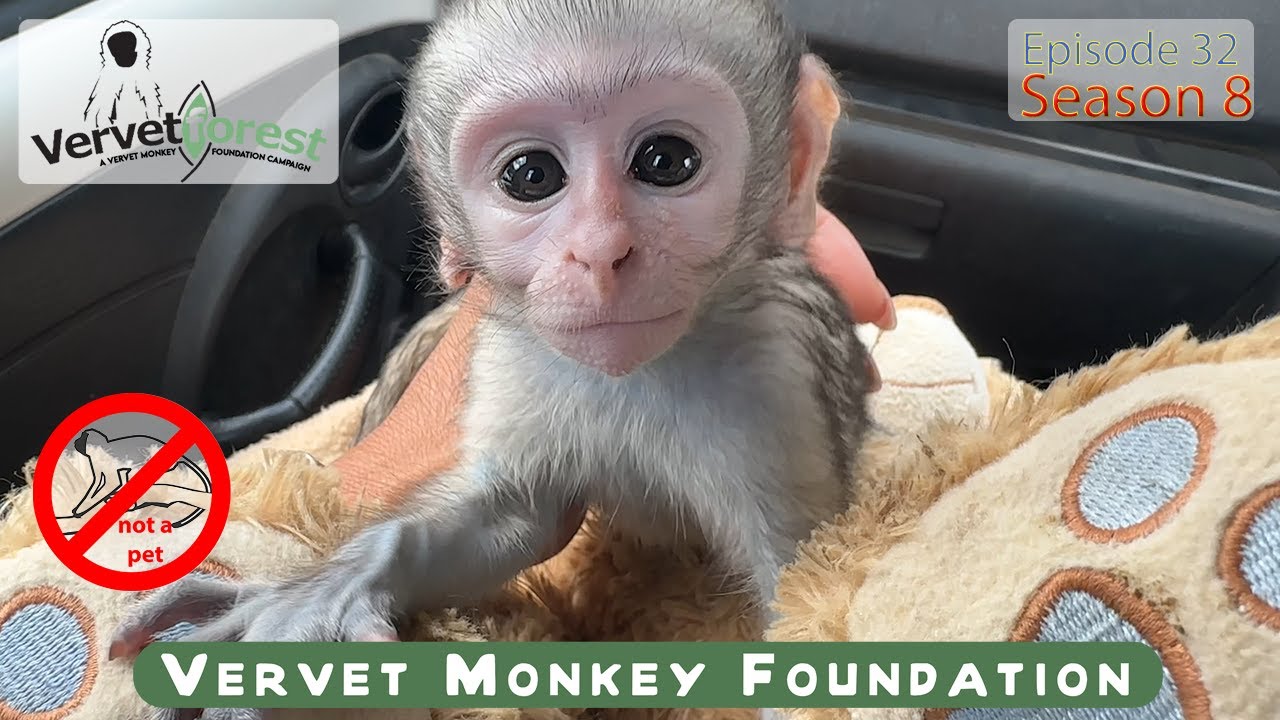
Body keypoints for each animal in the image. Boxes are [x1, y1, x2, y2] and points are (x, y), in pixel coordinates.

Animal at [110, 1, 873, 717]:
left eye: (666, 160)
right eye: (531, 175)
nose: (600, 252)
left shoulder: (777, 370)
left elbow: (799, 597)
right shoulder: (509, 361)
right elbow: (518, 519)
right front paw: (326, 590)